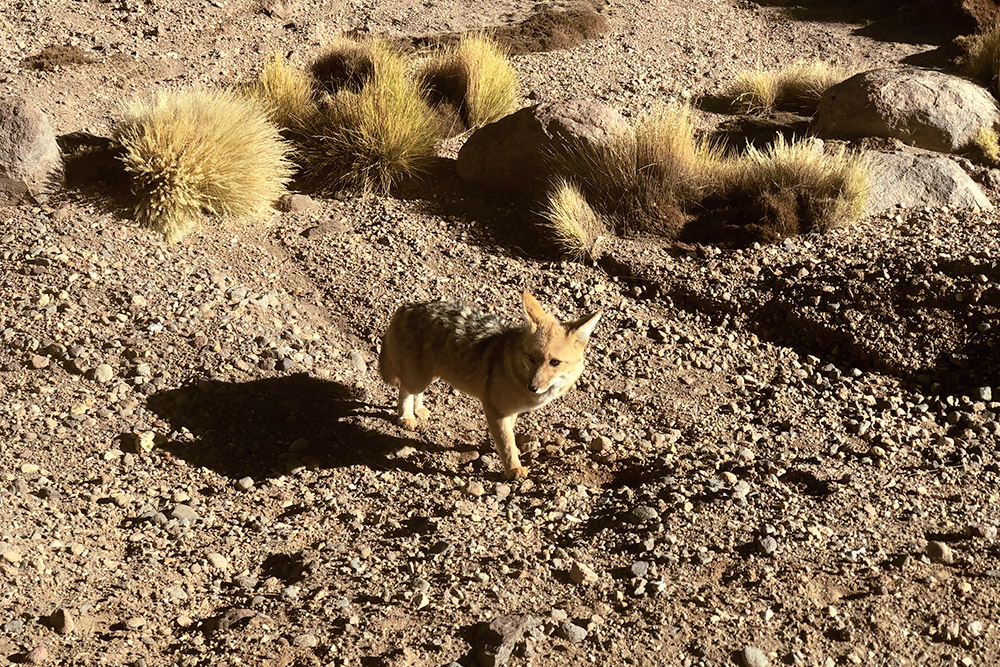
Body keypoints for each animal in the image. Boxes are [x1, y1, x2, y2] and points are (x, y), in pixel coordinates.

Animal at [378, 292, 600, 480]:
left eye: (554, 362)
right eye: (531, 358)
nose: (533, 387)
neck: (510, 363)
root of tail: (407, 307)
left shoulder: (511, 411)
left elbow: (508, 434)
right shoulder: (495, 409)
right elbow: (506, 440)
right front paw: (513, 468)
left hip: (431, 376)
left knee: (413, 389)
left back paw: (419, 409)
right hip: (420, 378)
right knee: (405, 388)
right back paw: (406, 416)